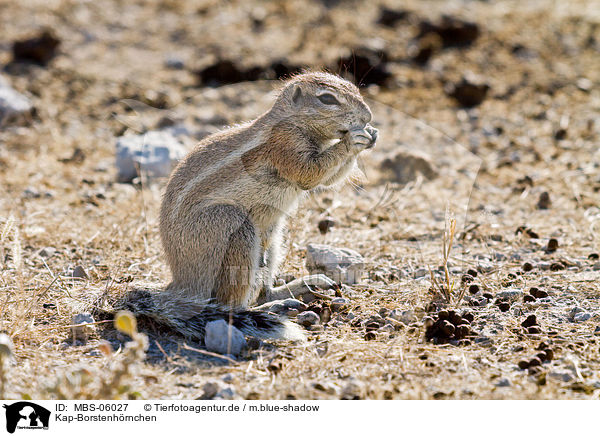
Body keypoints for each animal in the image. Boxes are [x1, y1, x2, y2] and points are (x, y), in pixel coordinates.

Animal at [120, 72, 378, 340]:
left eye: (354, 88)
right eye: (327, 99)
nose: (367, 116)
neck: (293, 122)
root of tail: (180, 283)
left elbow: (329, 179)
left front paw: (371, 134)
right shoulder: (285, 145)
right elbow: (311, 173)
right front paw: (353, 140)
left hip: (274, 241)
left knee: (263, 289)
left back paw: (298, 288)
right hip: (232, 227)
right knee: (232, 303)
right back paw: (268, 310)